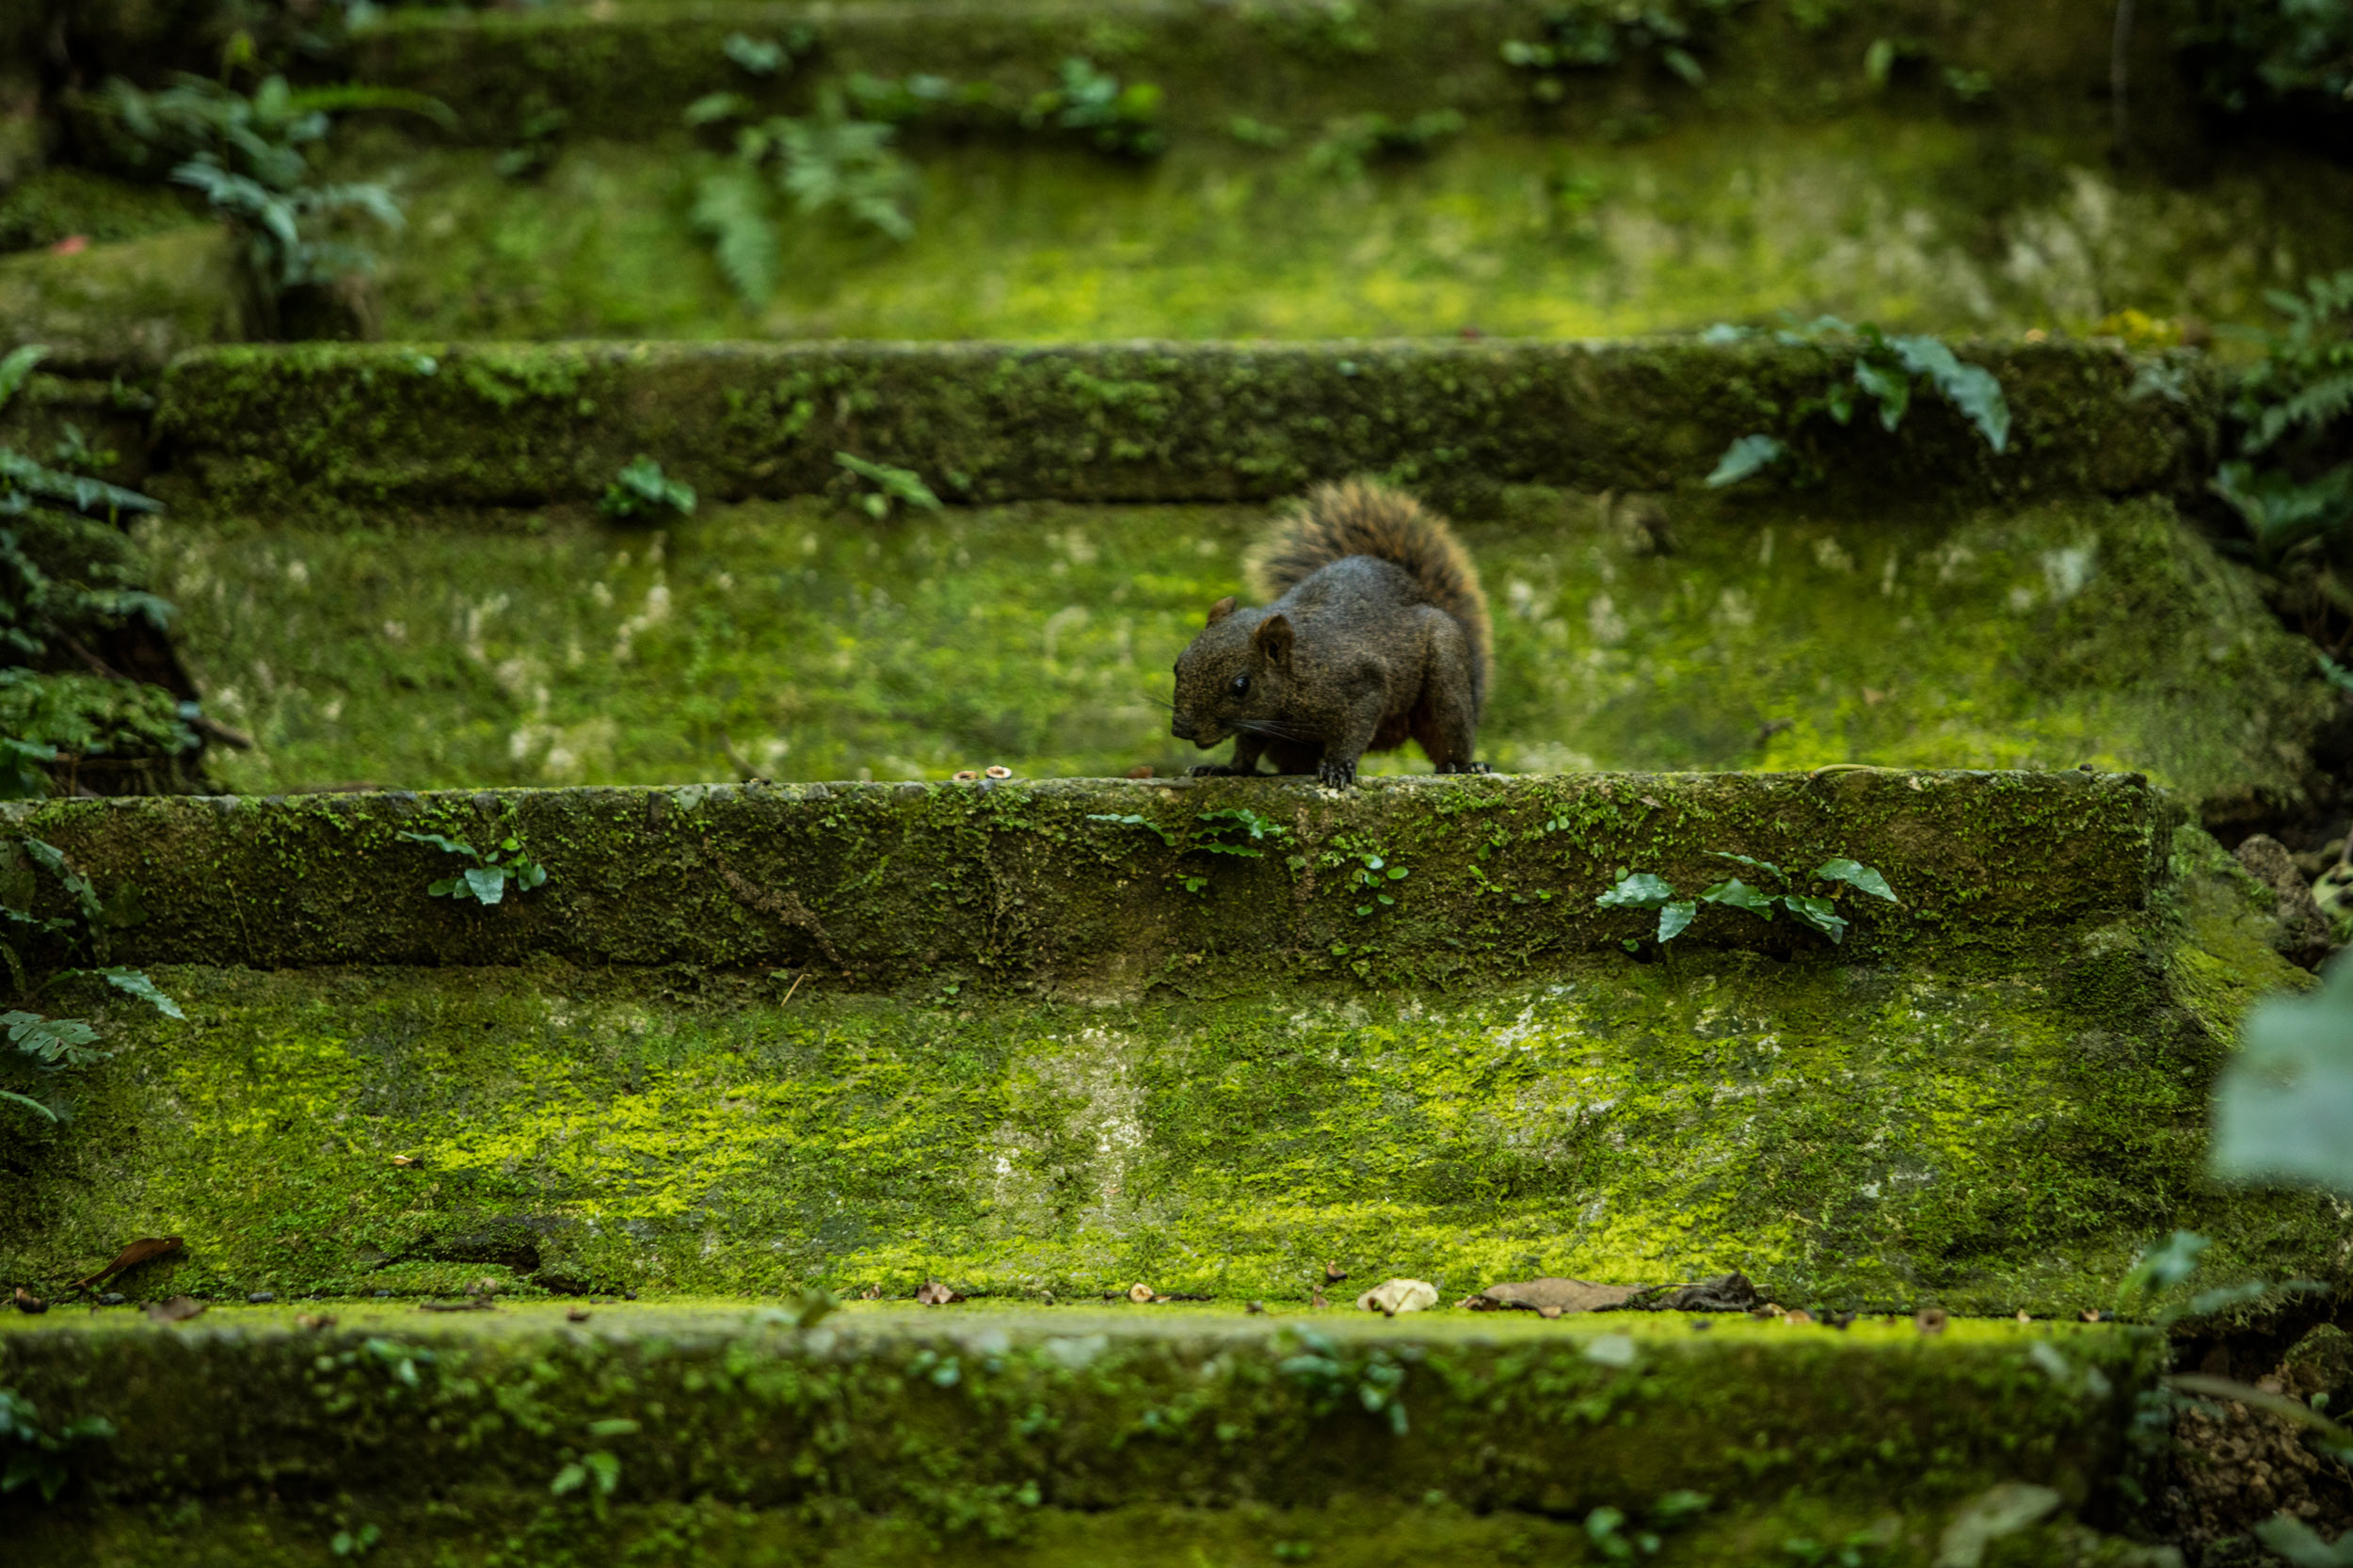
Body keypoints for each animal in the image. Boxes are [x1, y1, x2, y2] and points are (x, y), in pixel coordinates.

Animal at [1172, 475, 1487, 786]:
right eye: (1177, 666)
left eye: (1241, 685)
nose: (1181, 730)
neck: (1297, 668)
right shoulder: (1259, 723)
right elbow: (1247, 747)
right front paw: (1229, 769)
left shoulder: (1362, 682)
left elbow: (1352, 731)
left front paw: (1337, 767)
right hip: (1289, 747)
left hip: (1445, 679)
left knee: (1448, 731)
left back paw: (1462, 766)